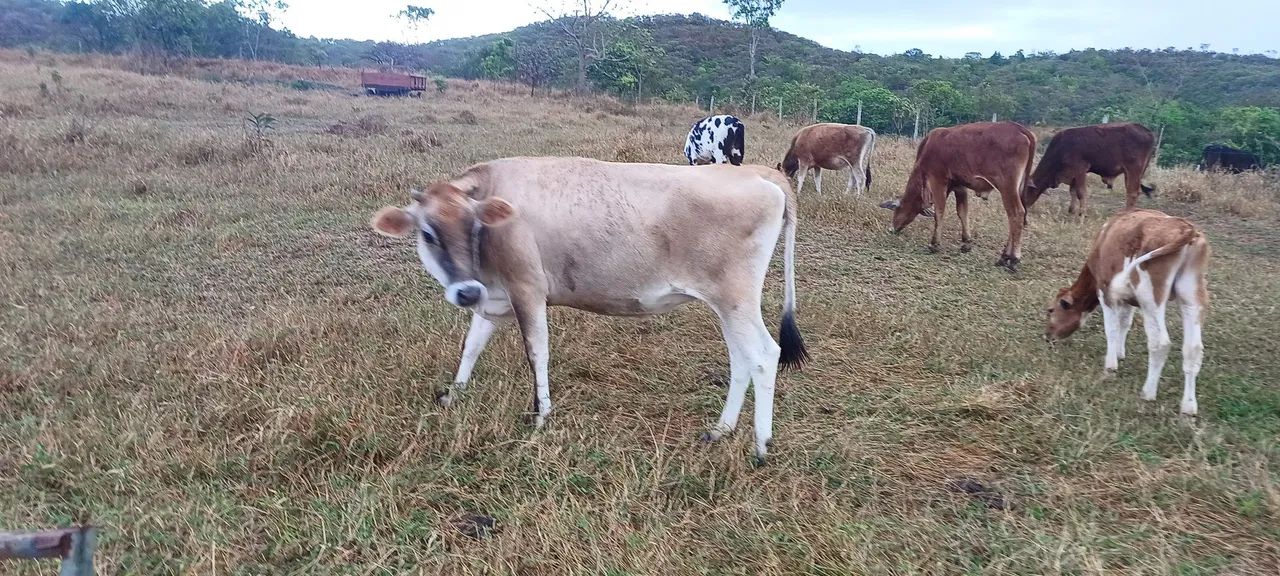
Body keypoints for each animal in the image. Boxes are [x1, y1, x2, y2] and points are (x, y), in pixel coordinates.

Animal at [369, 157, 807, 462]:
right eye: (428, 233)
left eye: (474, 226)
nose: (464, 291)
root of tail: (759, 174)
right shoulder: (492, 295)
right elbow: (471, 346)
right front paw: (453, 394)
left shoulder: (527, 288)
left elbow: (536, 351)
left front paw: (541, 414)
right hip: (728, 304)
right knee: (740, 358)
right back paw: (721, 429)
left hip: (736, 297)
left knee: (764, 355)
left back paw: (760, 446)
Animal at [882, 121, 1037, 271]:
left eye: (896, 209)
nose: (892, 228)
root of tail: (1020, 129)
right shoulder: (960, 186)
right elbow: (962, 212)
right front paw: (966, 242)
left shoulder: (937, 180)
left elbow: (939, 212)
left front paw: (934, 244)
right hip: (1017, 188)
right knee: (1015, 217)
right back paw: (1004, 257)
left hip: (1007, 186)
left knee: (1016, 214)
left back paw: (1013, 258)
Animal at [1023, 123, 1157, 215]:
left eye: (1024, 192)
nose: (1025, 207)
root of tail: (1146, 130)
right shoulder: (1072, 174)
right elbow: (1072, 191)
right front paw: (1071, 211)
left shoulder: (1080, 169)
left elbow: (1081, 193)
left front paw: (1082, 214)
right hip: (1130, 173)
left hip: (1134, 168)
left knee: (1132, 192)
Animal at [1044, 209, 1209, 416]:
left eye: (1051, 310)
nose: (1047, 336)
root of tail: (1186, 227)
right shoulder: (1127, 298)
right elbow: (1125, 322)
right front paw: (1120, 353)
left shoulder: (1105, 291)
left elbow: (1112, 329)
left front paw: (1111, 365)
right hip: (1192, 296)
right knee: (1193, 348)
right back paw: (1188, 406)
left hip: (1150, 295)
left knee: (1160, 342)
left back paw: (1148, 392)